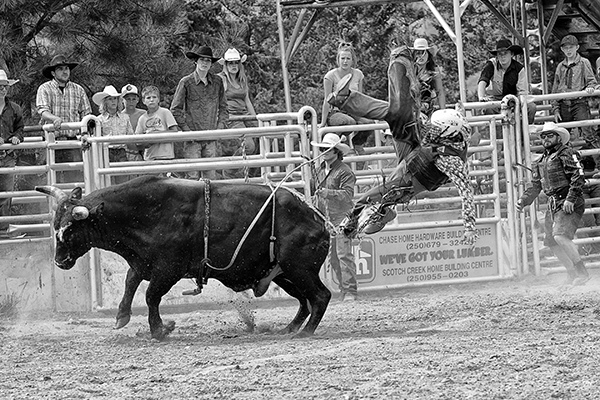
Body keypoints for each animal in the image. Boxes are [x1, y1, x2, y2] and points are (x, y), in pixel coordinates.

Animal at [36, 176, 332, 340]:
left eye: (69, 230)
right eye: (55, 226)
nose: (60, 261)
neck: (145, 212)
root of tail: (317, 218)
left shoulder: (169, 269)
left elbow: (151, 296)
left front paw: (160, 329)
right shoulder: (141, 263)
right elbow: (130, 283)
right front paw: (122, 316)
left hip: (299, 268)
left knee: (320, 296)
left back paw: (306, 332)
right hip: (284, 274)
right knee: (304, 301)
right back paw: (290, 328)